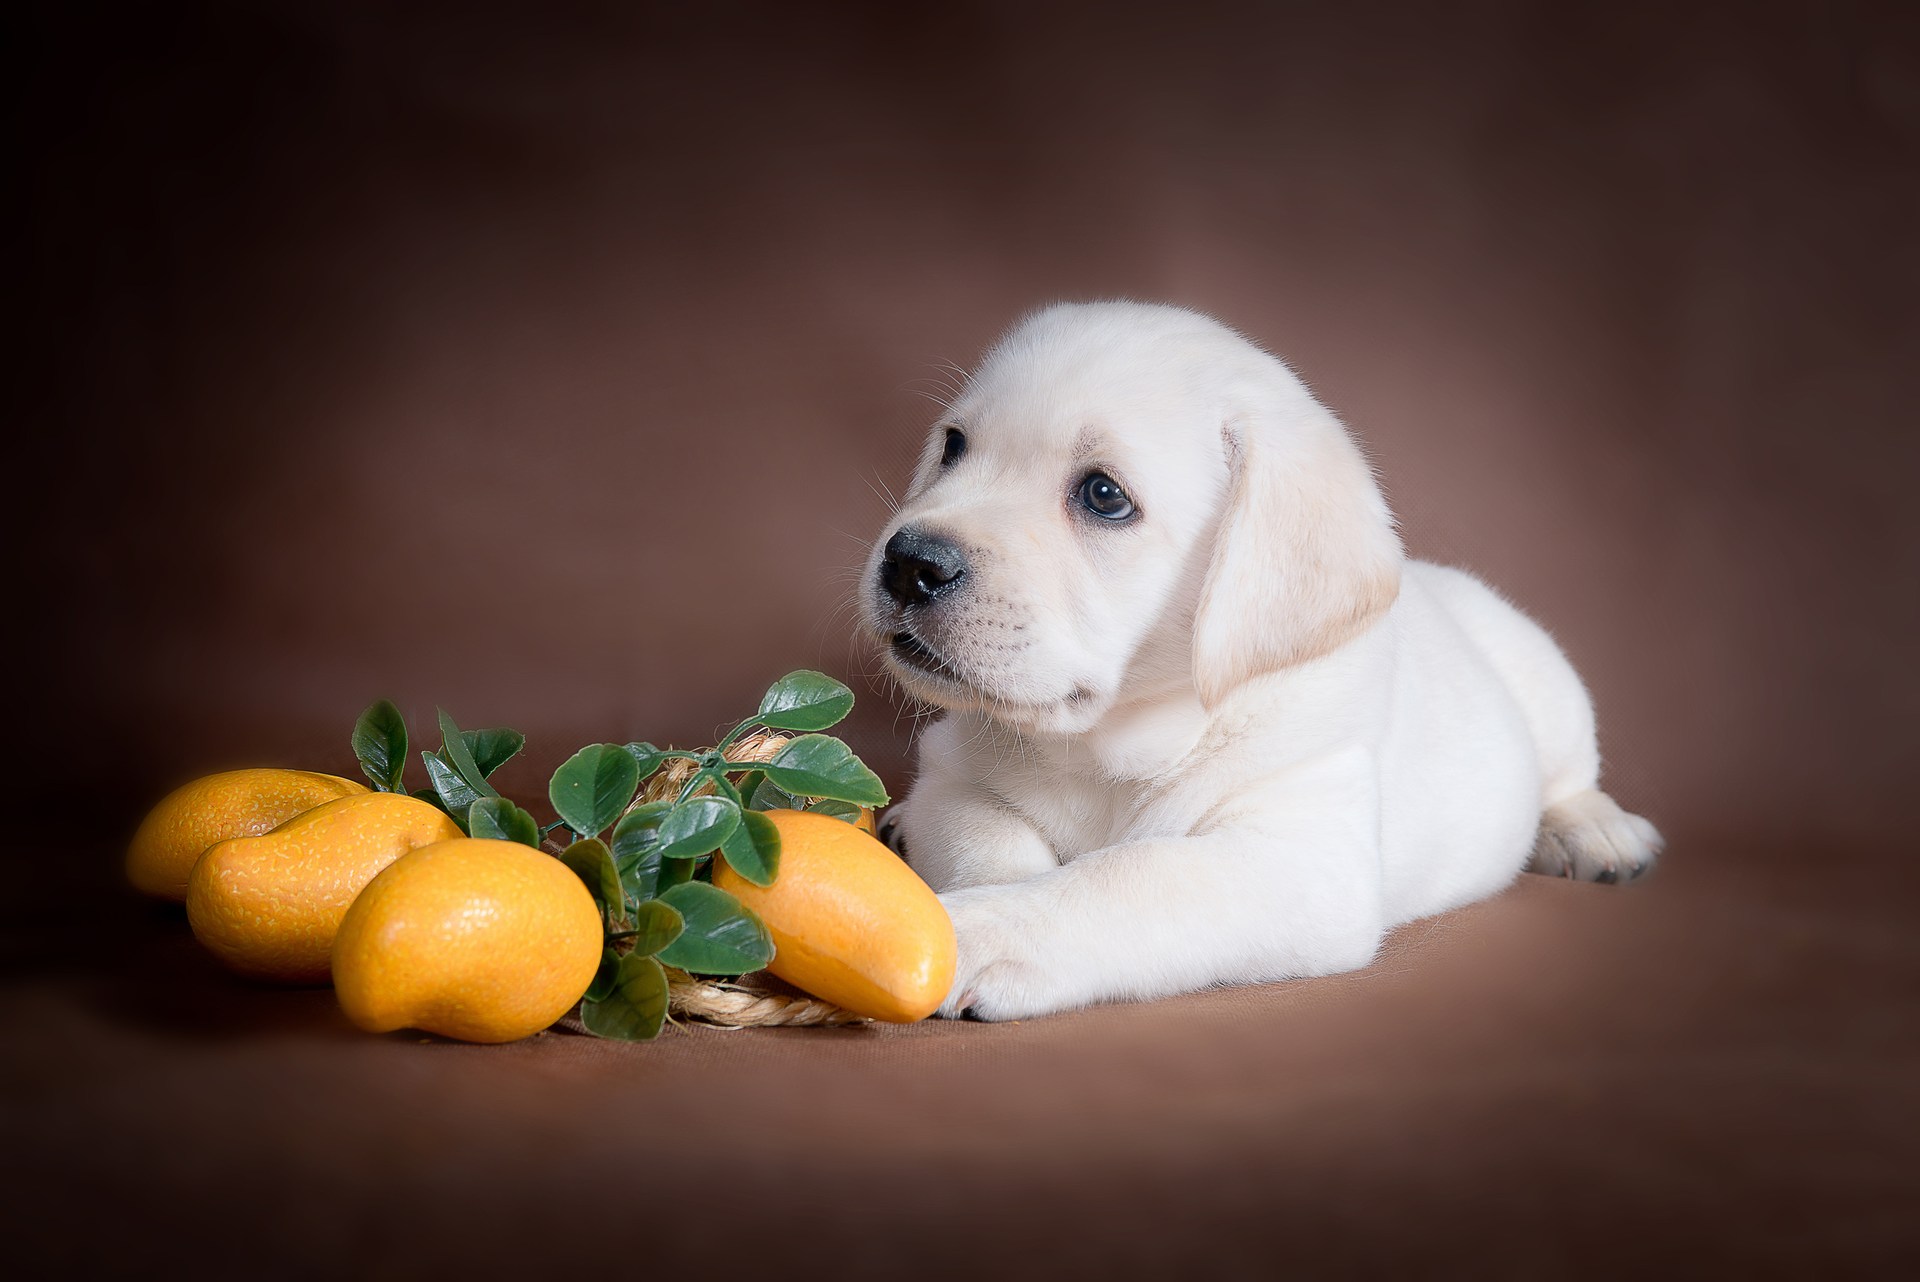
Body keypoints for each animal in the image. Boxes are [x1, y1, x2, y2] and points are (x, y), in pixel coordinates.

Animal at [864, 301, 1658, 1020]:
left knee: (1570, 777)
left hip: (1546, 681)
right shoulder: (952, 776)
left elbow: (1131, 875)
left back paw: (1596, 831)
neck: (1114, 747)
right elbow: (991, 841)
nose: (909, 564)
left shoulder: (1300, 860)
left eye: (1103, 495)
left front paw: (981, 931)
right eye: (954, 446)